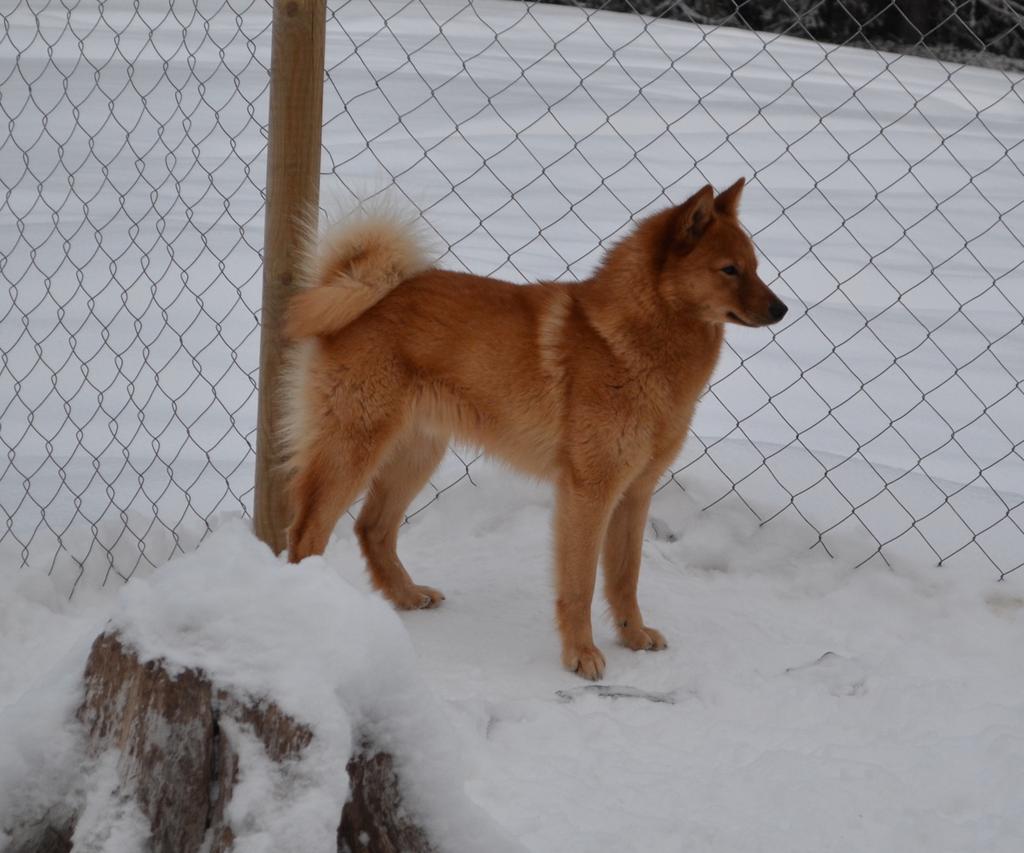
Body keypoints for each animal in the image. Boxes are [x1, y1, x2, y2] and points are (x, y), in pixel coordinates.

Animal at [284, 180, 786, 679]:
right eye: (729, 270)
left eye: (756, 267)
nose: (782, 308)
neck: (633, 341)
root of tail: (352, 288)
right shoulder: (588, 493)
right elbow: (581, 584)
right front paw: (581, 653)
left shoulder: (635, 493)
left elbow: (626, 577)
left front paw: (633, 635)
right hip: (354, 450)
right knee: (308, 532)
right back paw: (311, 603)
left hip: (417, 453)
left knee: (372, 528)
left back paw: (407, 595)